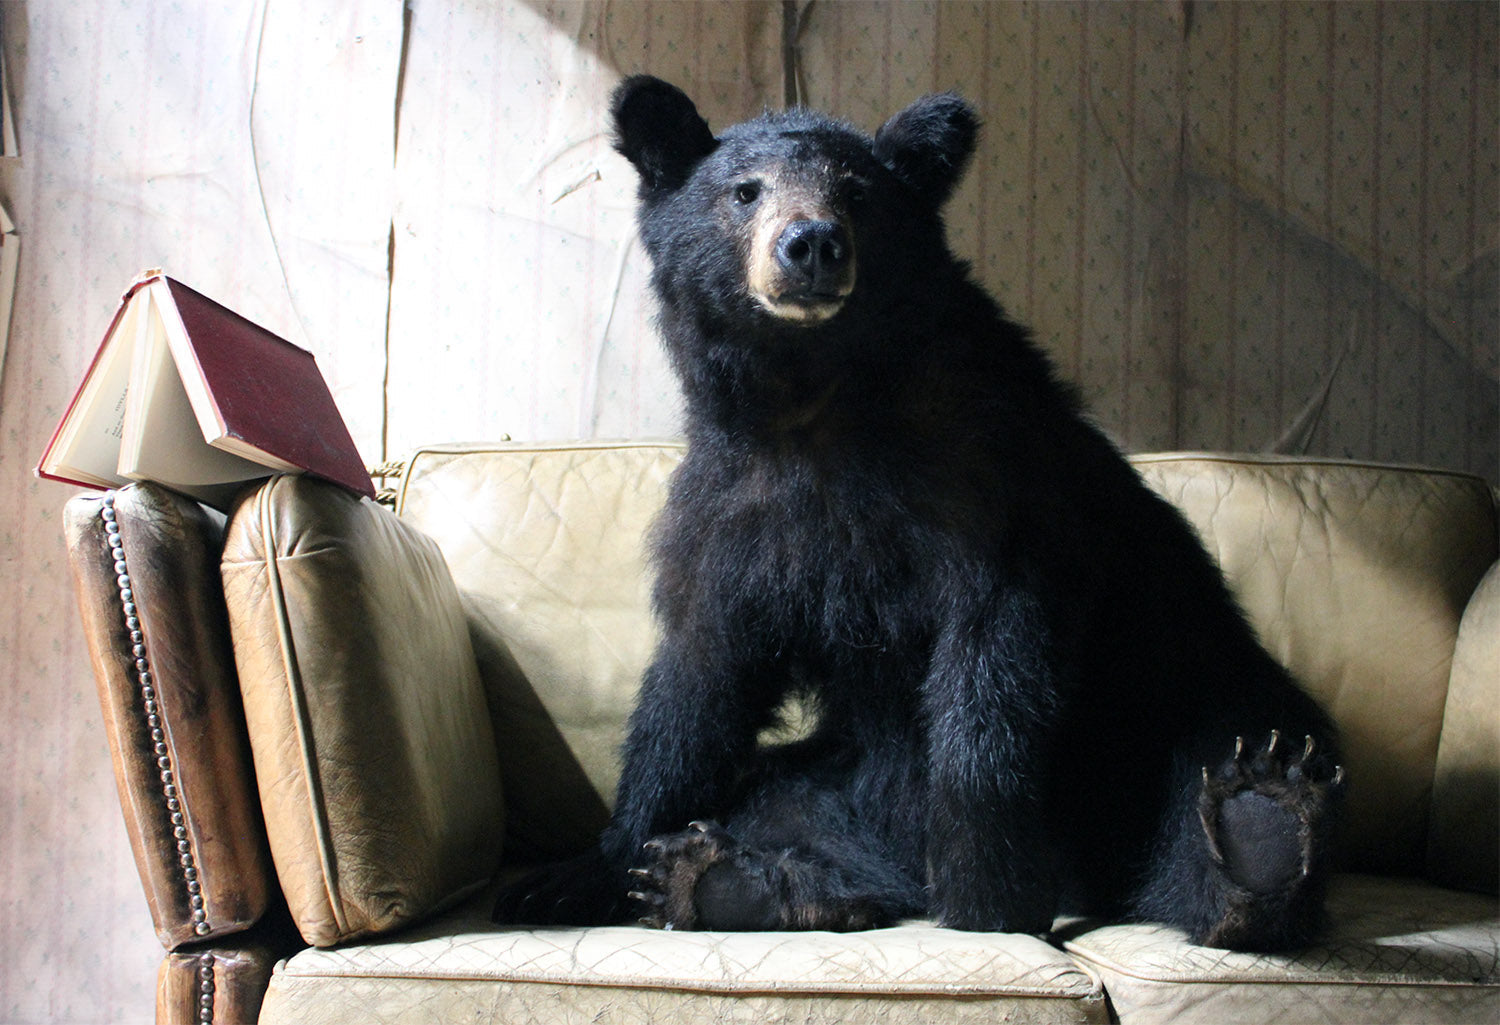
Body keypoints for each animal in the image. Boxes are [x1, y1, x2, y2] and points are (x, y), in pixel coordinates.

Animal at [493, 75, 1346, 952]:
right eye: (744, 191)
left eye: (858, 194)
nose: (812, 244)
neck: (816, 398)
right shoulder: (735, 511)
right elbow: (699, 677)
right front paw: (578, 874)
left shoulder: (987, 482)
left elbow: (990, 677)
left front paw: (988, 898)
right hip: (852, 767)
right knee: (791, 800)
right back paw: (734, 880)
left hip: (1178, 698)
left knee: (1214, 769)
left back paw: (1258, 833)